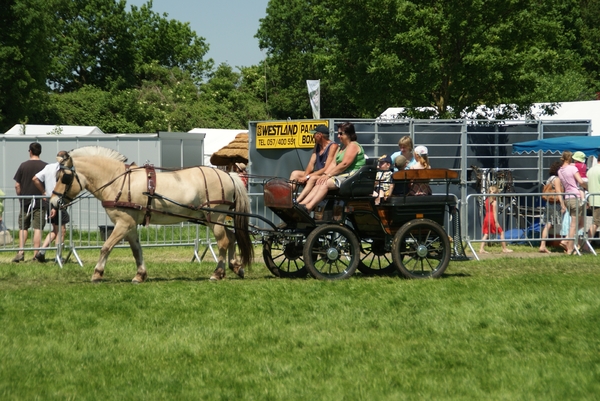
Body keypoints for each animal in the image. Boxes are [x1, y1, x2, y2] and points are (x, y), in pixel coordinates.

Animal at [48, 146, 251, 282]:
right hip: (211, 218)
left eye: (65, 178)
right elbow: (136, 250)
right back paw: (236, 267)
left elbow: (106, 247)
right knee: (231, 238)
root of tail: (228, 175)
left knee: (223, 242)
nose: (53, 202)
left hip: (215, 218)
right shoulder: (130, 225)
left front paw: (97, 274)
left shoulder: (123, 224)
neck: (118, 181)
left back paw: (218, 273)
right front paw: (140, 275)